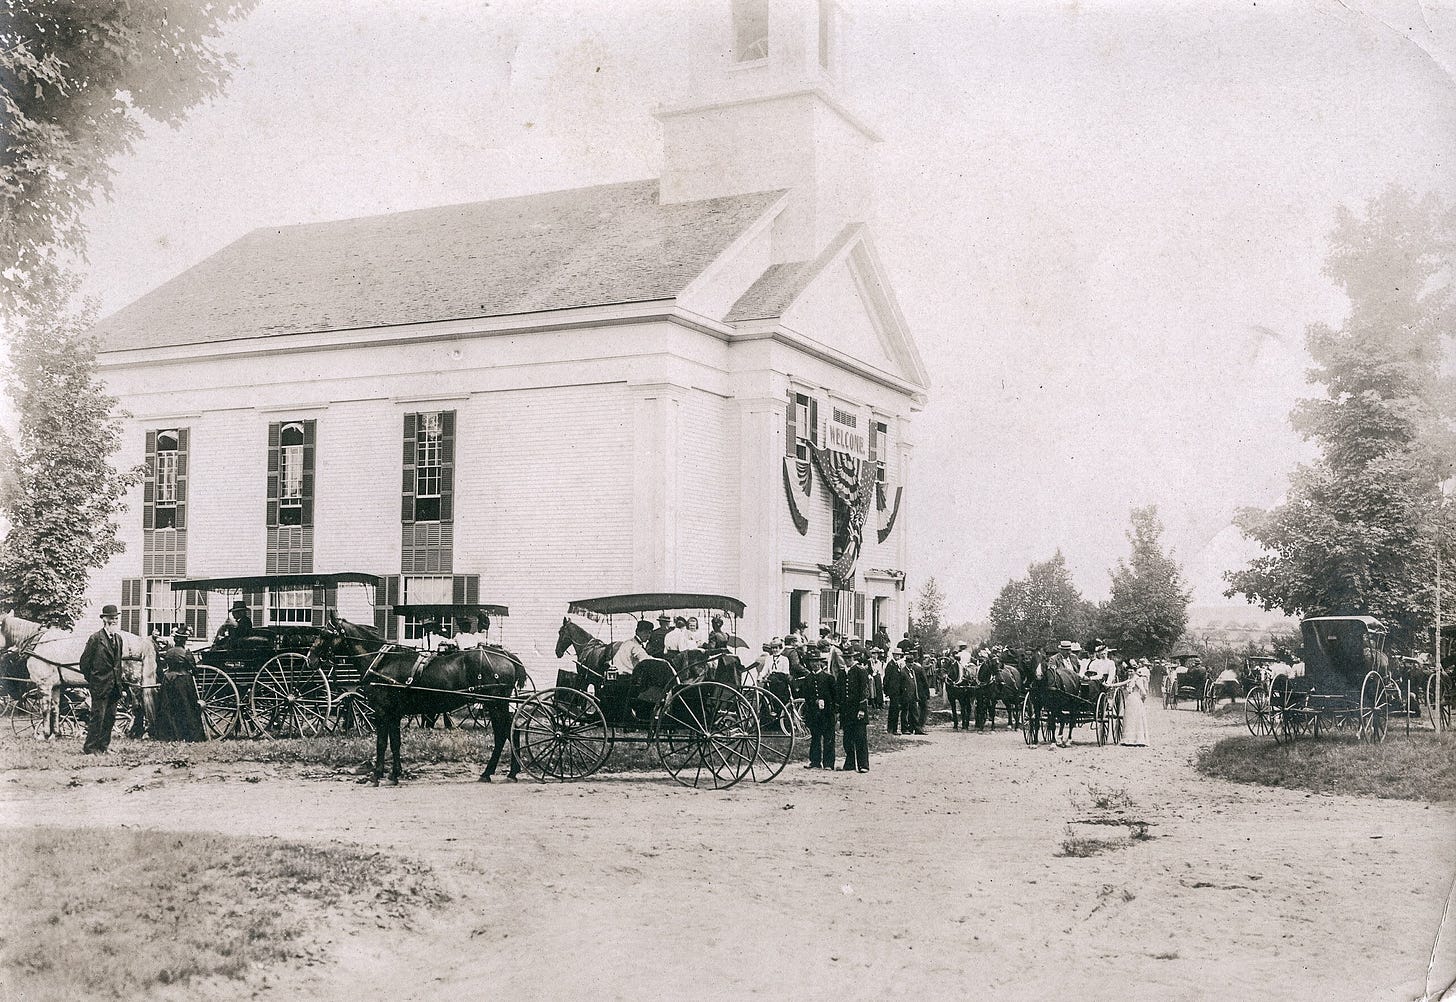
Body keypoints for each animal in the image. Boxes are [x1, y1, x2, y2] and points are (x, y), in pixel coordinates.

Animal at [0, 605, 157, 739]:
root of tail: (142, 641)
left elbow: (45, 709)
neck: (38, 642)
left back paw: (135, 733)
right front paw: (55, 734)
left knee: (138, 706)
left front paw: (44, 734)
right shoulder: (56, 686)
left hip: (133, 683)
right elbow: (55, 709)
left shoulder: (44, 684)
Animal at [310, 614, 527, 786]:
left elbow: (381, 743)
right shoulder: (394, 714)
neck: (382, 662)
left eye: (325, 634)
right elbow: (395, 742)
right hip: (497, 703)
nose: (310, 659)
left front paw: (376, 775)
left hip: (495, 703)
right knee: (510, 730)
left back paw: (493, 772)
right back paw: (507, 772)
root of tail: (506, 656)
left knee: (504, 732)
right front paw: (394, 774)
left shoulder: (382, 712)